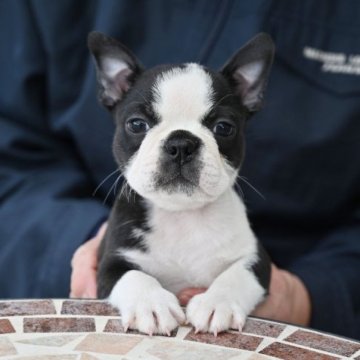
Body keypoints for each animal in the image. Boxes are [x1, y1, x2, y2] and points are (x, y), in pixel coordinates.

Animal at [88, 31, 274, 338]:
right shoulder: (111, 262)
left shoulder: (256, 258)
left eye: (224, 128)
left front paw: (216, 302)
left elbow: (237, 275)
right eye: (136, 124)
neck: (181, 216)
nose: (181, 144)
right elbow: (133, 275)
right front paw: (151, 304)